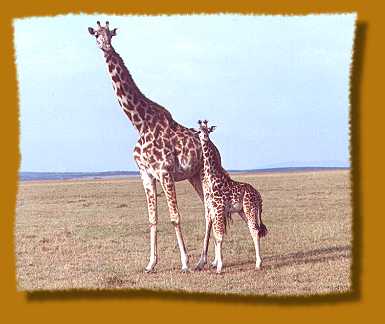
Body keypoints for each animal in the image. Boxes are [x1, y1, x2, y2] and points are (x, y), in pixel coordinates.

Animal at [87, 21, 219, 272]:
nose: (106, 47)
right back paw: (205, 260)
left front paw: (184, 263)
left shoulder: (165, 172)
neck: (139, 123)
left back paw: (204, 260)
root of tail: (216, 149)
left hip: (206, 173)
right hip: (194, 176)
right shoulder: (146, 174)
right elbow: (152, 218)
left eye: (111, 35)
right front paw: (150, 264)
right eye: (96, 35)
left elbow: (175, 217)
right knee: (208, 210)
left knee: (211, 209)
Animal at [195, 120, 268, 272]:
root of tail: (258, 195)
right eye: (199, 131)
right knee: (253, 231)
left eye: (208, 130)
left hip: (250, 209)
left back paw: (258, 264)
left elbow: (219, 237)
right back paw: (258, 263)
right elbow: (216, 237)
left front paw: (219, 267)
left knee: (255, 230)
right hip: (242, 211)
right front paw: (216, 263)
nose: (204, 137)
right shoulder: (212, 210)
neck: (212, 178)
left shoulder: (219, 209)